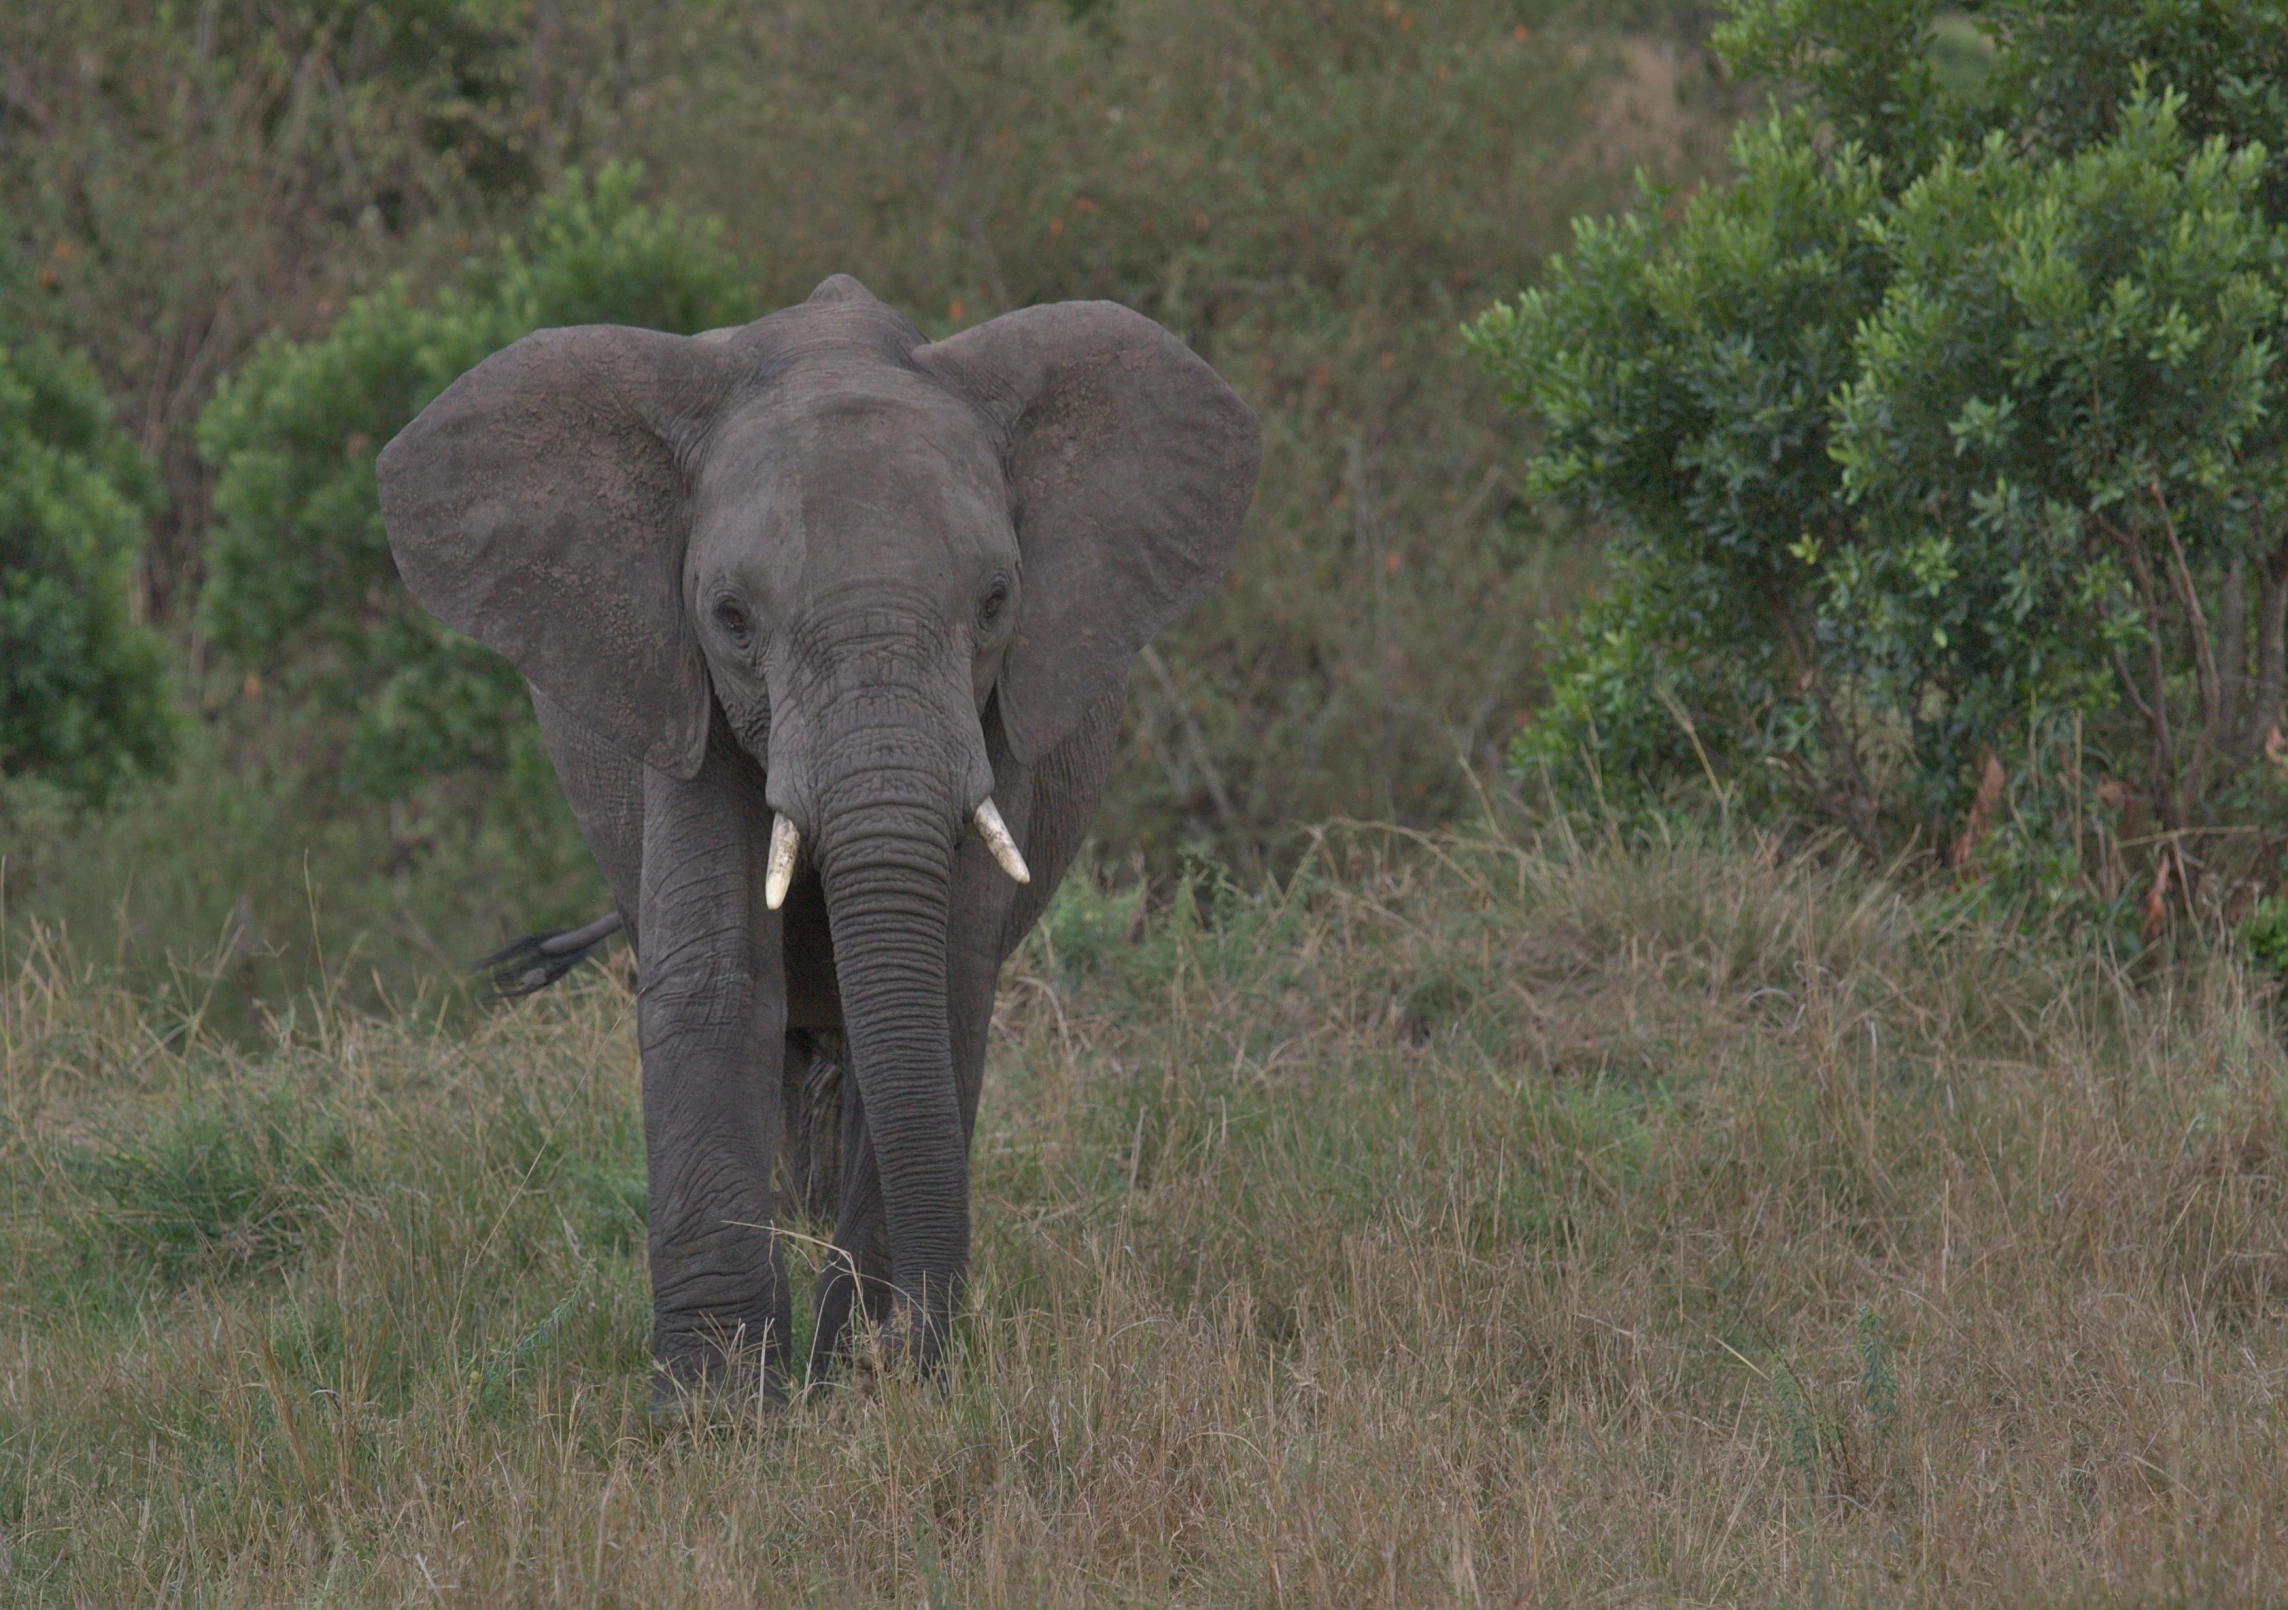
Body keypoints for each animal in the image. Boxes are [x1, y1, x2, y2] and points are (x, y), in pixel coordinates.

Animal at [382, 273, 1262, 1399]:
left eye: (995, 600)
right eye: (730, 617)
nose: (914, 1344)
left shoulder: (1000, 712)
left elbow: (940, 984)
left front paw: (859, 1385)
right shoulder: (682, 692)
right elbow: (717, 979)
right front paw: (717, 1406)